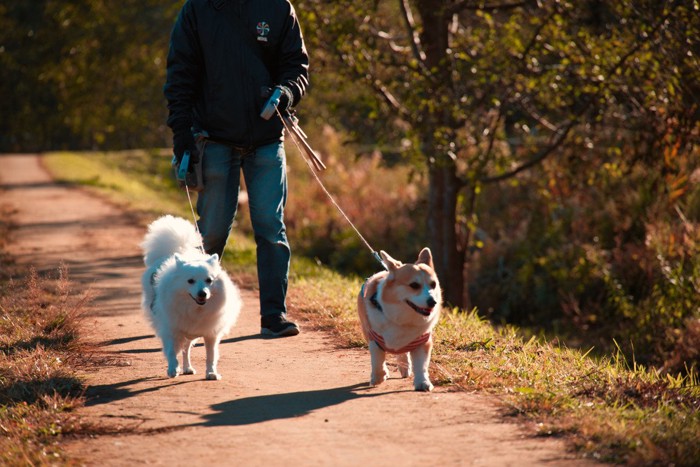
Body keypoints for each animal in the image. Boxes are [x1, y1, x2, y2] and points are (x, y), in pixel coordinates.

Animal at [141, 216, 242, 380]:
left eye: (209, 280)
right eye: (190, 281)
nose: (202, 293)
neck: (195, 309)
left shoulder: (211, 334)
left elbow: (211, 355)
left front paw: (211, 373)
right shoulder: (171, 329)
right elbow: (171, 351)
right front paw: (172, 369)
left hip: (190, 334)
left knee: (186, 349)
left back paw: (188, 368)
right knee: (181, 348)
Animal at [358, 249, 440, 392]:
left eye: (433, 285)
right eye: (414, 285)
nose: (433, 302)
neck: (403, 320)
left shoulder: (423, 342)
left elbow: (422, 365)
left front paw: (423, 383)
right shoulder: (374, 338)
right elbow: (377, 360)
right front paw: (378, 377)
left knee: (403, 353)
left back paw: (404, 367)